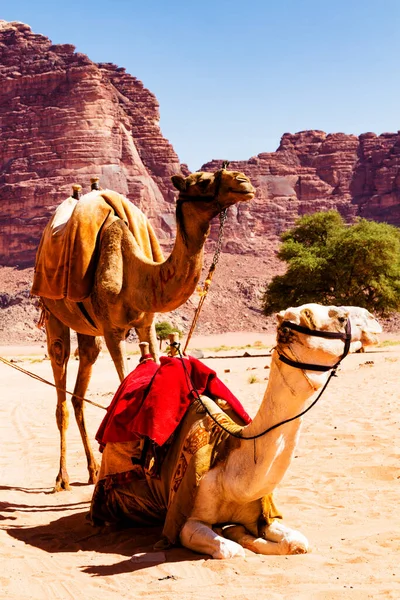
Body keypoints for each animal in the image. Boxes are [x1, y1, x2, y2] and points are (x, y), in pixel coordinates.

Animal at [32, 166, 255, 490]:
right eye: (202, 181)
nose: (244, 181)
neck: (137, 273)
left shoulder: (146, 324)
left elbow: (154, 367)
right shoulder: (112, 330)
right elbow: (122, 382)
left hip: (87, 328)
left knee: (82, 376)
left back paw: (92, 469)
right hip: (54, 313)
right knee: (60, 370)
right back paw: (62, 478)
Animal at [90, 304, 382, 556]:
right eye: (338, 317)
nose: (374, 320)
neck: (229, 472)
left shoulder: (263, 511)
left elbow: (296, 542)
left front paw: (237, 530)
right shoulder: (185, 520)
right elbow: (231, 550)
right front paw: (233, 534)